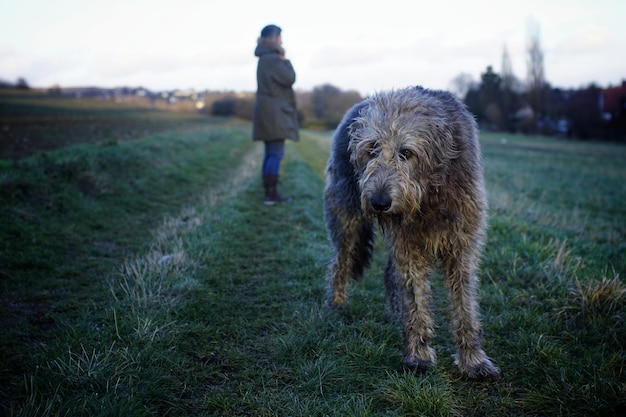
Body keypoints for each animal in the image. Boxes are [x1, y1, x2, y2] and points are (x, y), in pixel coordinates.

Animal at [324, 86, 500, 378]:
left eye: (406, 152)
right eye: (372, 148)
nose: (380, 202)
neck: (427, 195)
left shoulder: (463, 243)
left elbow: (465, 303)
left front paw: (473, 360)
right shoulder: (408, 245)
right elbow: (416, 297)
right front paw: (418, 355)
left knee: (389, 272)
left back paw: (396, 311)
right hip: (346, 213)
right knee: (341, 259)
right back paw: (335, 303)